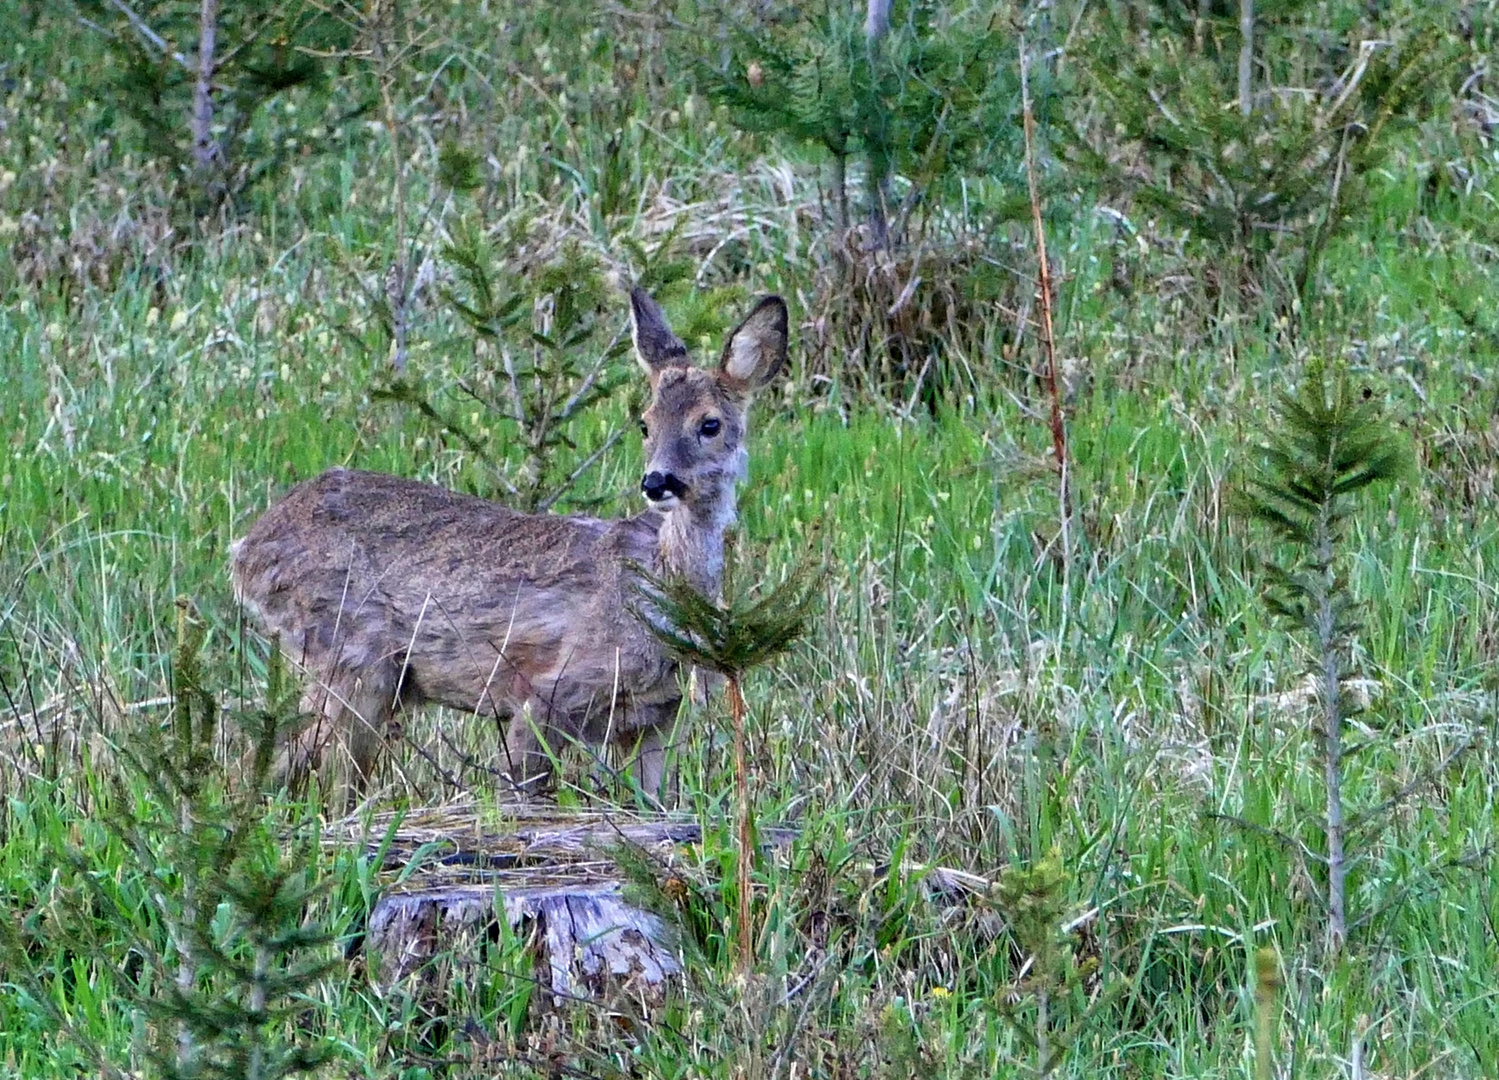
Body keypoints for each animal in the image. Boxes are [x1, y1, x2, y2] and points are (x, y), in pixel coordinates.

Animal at [224, 291, 785, 798]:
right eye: (645, 423)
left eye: (709, 424)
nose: (656, 482)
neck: (655, 591)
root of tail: (248, 548)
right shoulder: (547, 693)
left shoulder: (653, 719)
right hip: (352, 656)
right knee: (301, 772)